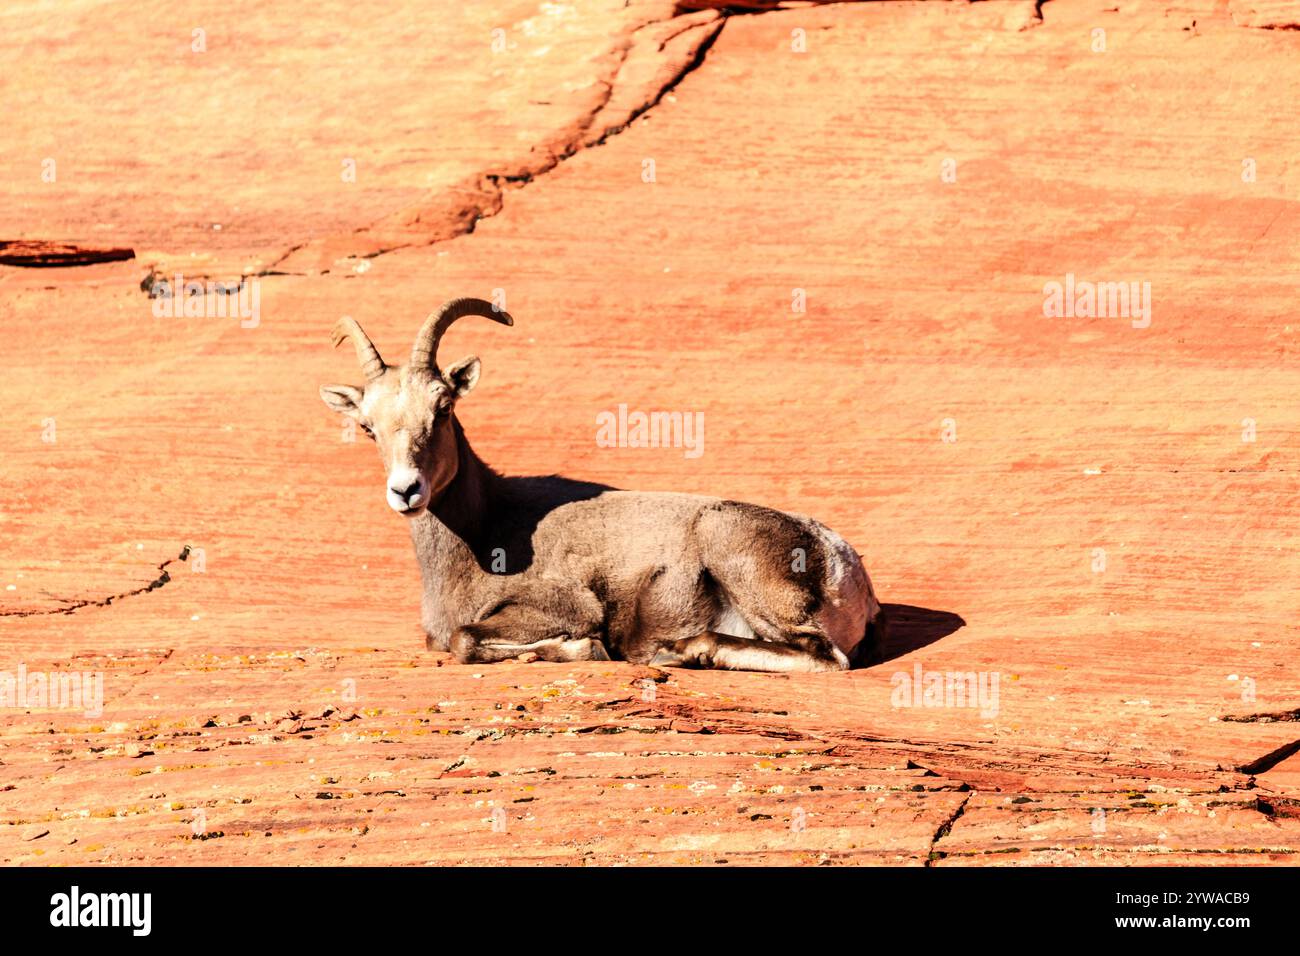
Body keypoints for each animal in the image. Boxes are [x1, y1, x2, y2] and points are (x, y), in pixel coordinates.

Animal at [321, 299, 889, 671]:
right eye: (367, 426)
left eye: (442, 409)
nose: (406, 491)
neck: (482, 536)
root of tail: (846, 570)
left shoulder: (563, 607)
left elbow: (464, 642)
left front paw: (585, 649)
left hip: (730, 545)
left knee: (826, 658)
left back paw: (680, 652)